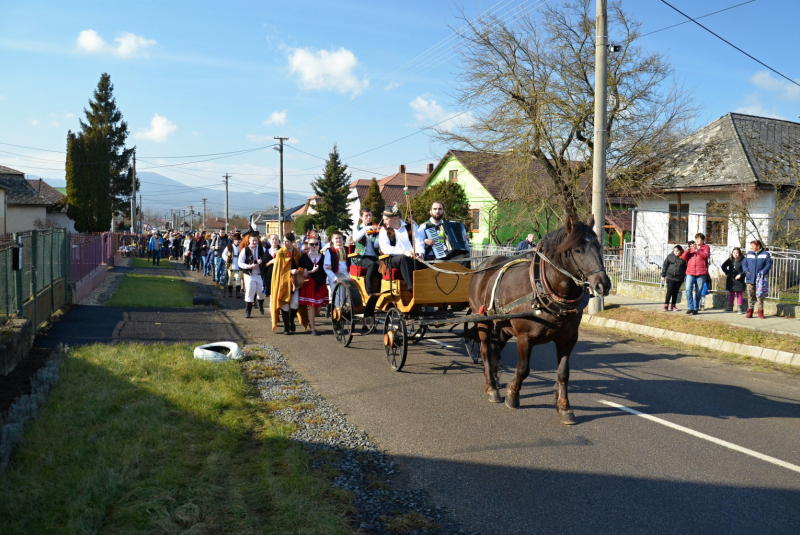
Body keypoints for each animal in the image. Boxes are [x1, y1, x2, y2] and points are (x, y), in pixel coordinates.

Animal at [468, 216, 612, 426]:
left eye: (598, 246)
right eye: (577, 250)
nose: (603, 284)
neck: (546, 291)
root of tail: (484, 264)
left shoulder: (568, 339)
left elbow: (563, 373)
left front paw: (564, 408)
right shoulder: (524, 337)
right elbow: (523, 369)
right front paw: (513, 396)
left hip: (503, 325)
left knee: (496, 348)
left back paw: (494, 379)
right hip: (483, 320)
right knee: (485, 350)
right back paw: (492, 388)